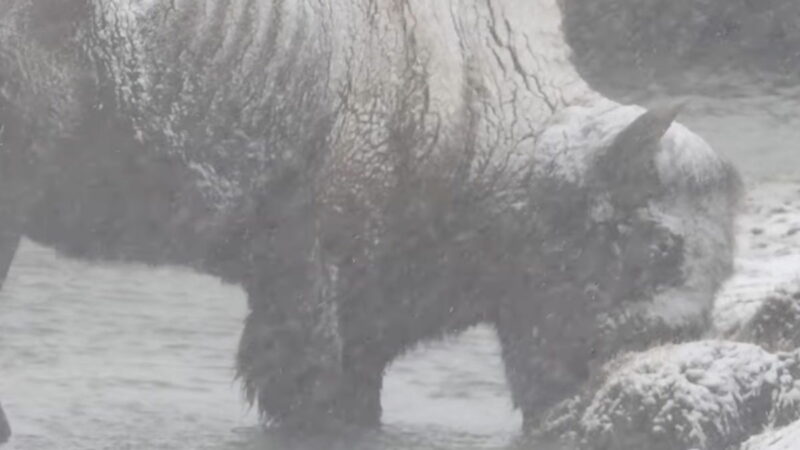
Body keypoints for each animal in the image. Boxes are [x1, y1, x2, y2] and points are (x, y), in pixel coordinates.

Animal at [0, 0, 740, 436]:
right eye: (658, 244)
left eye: (726, 263)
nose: (665, 351)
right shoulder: (312, 277)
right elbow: (312, 392)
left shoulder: (370, 310)